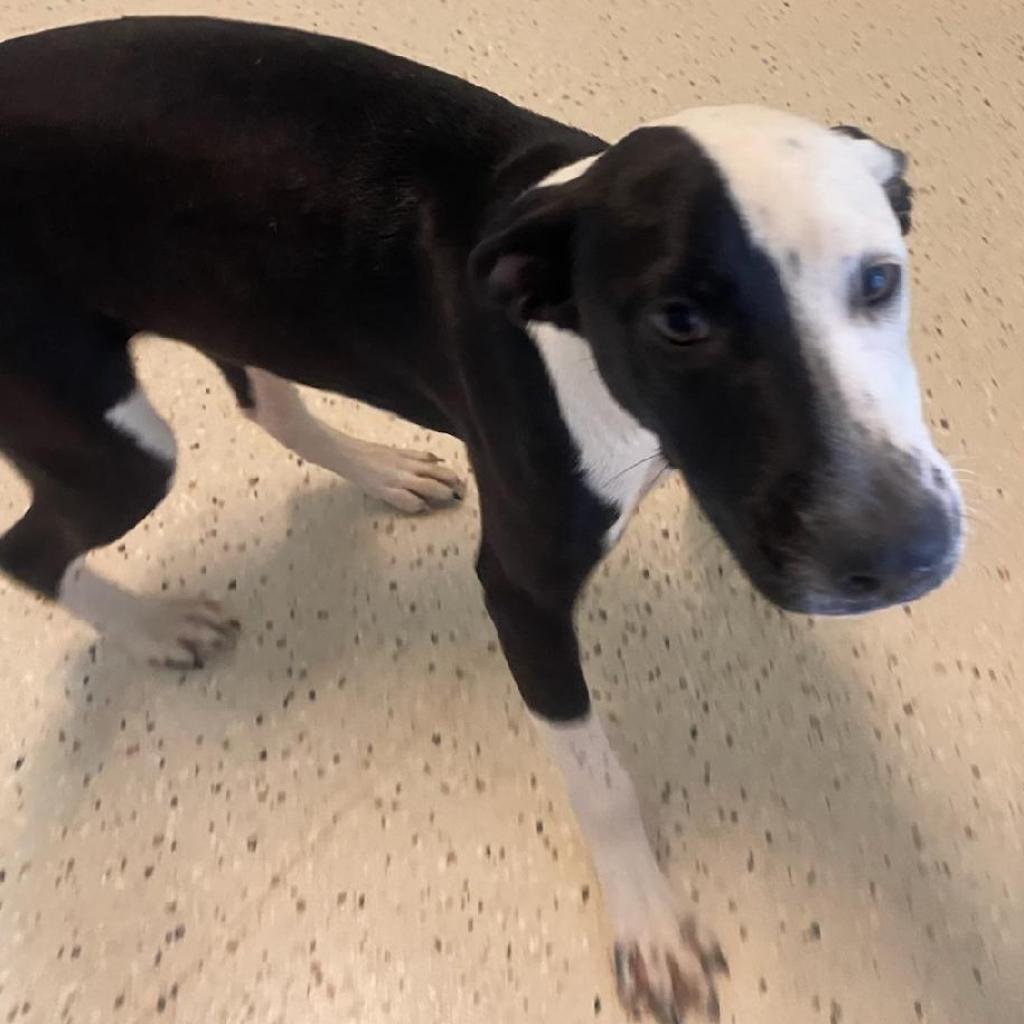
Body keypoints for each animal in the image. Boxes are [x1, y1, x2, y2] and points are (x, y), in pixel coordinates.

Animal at [0, 18, 958, 1024]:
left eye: (880, 280)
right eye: (678, 321)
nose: (900, 553)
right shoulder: (521, 594)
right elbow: (598, 778)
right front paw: (649, 925)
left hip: (231, 301)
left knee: (268, 404)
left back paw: (380, 471)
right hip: (109, 439)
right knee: (30, 550)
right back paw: (157, 628)